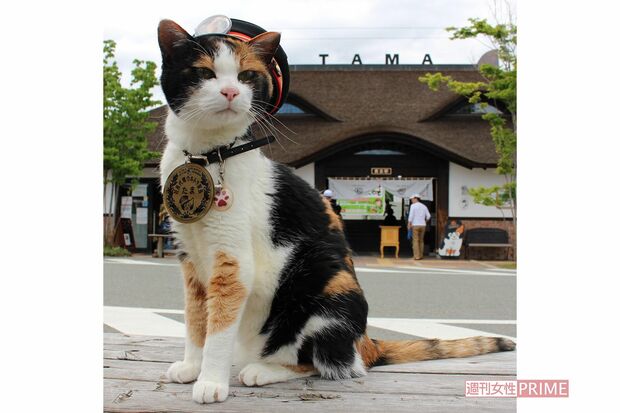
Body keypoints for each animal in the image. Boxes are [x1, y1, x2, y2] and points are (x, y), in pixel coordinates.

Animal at [157, 18, 516, 402]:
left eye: (246, 75)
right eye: (205, 72)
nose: (229, 92)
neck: (204, 156)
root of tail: (366, 342)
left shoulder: (232, 261)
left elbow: (219, 326)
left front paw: (210, 381)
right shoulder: (190, 258)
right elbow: (197, 319)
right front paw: (192, 367)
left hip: (327, 284)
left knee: (325, 363)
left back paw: (263, 370)